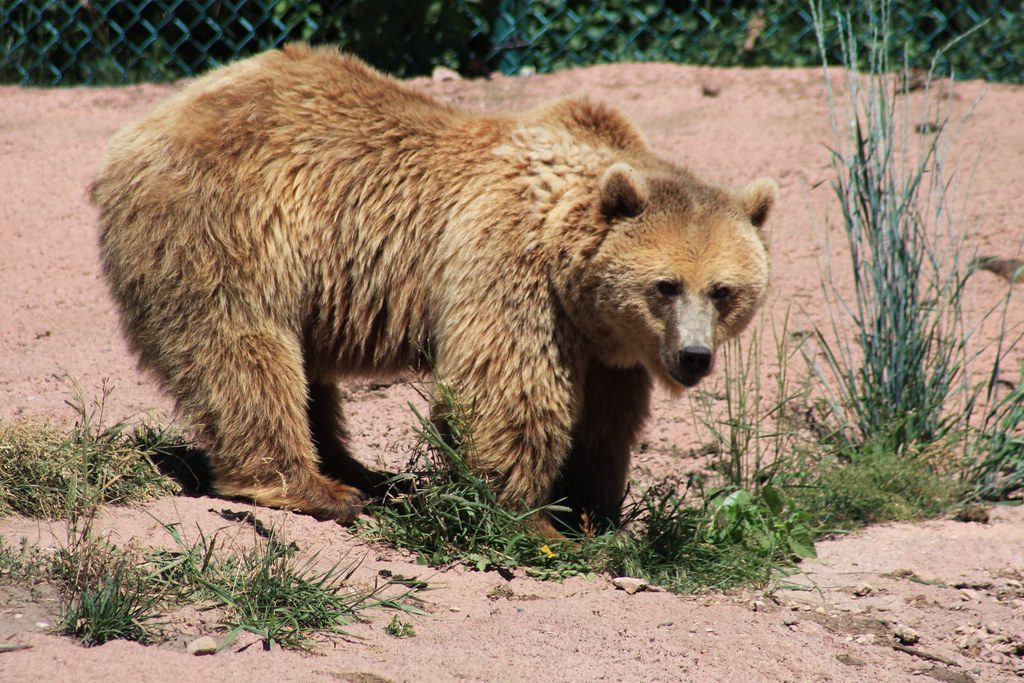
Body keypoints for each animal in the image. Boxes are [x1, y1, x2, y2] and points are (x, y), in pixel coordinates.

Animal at [92, 44, 776, 535]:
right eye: (666, 285)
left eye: (723, 291)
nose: (694, 357)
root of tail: (144, 126)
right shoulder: (509, 262)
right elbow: (508, 387)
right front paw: (528, 517)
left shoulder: (609, 342)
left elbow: (608, 419)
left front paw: (592, 508)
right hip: (227, 223)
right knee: (240, 347)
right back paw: (316, 487)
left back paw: (360, 471)